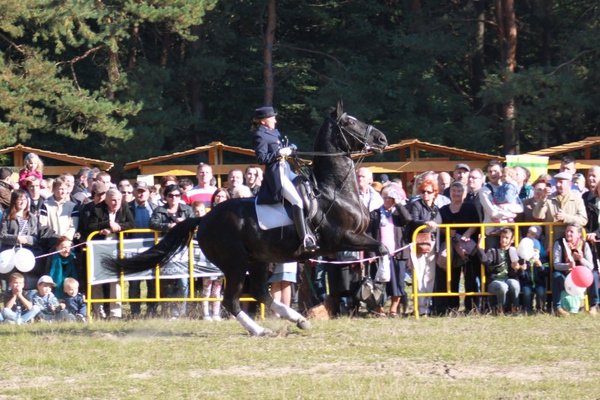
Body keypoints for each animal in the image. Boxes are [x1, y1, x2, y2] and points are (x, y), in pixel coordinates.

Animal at [106, 102, 390, 334]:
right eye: (349, 122)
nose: (382, 138)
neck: (334, 190)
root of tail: (204, 220)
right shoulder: (343, 239)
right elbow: (383, 248)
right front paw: (379, 283)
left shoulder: (353, 238)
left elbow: (377, 251)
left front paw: (371, 285)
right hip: (234, 264)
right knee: (232, 300)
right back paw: (260, 330)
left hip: (259, 260)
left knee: (260, 293)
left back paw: (299, 320)